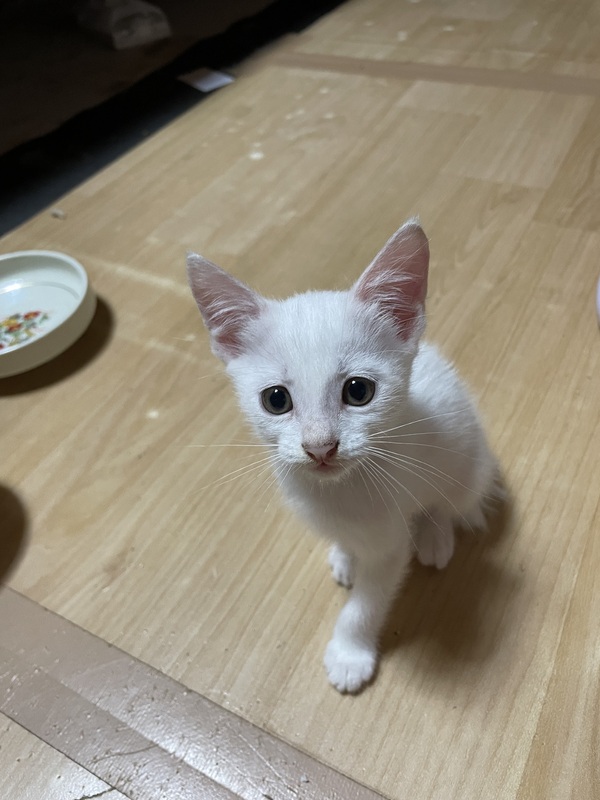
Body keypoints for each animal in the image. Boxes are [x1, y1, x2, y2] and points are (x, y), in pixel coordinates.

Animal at [186, 219, 499, 693]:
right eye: (275, 400)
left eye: (358, 391)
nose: (320, 446)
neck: (337, 494)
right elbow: (348, 543)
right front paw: (346, 554)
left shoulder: (390, 545)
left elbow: (365, 604)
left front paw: (350, 655)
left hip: (466, 464)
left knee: (448, 501)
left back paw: (435, 534)